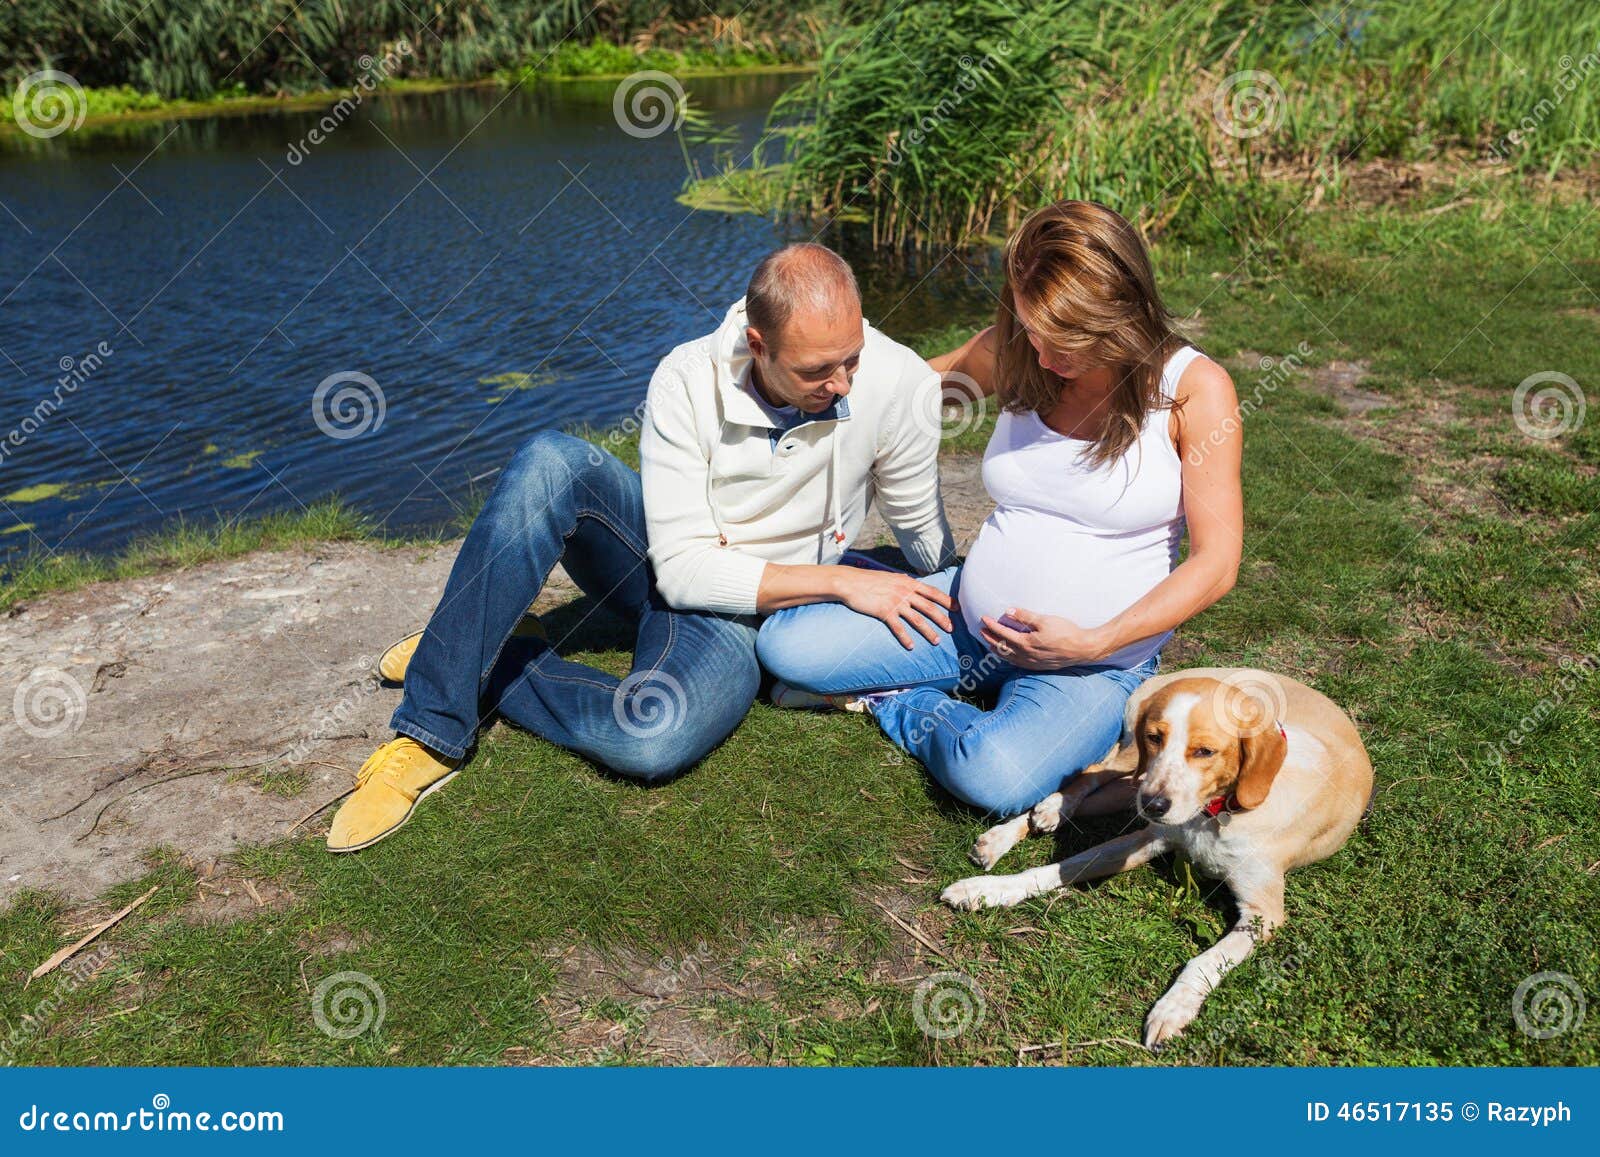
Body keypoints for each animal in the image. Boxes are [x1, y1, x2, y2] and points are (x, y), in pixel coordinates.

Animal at [934, 665, 1376, 1056]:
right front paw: (987, 890)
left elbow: (1205, 960)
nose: (1154, 805)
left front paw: (1173, 1008)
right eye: (1156, 737)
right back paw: (1033, 819)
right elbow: (1052, 868)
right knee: (1091, 772)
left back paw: (1025, 826)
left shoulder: (1262, 914)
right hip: (1133, 771)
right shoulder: (1149, 833)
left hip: (1129, 788)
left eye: (1205, 751)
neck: (1214, 814)